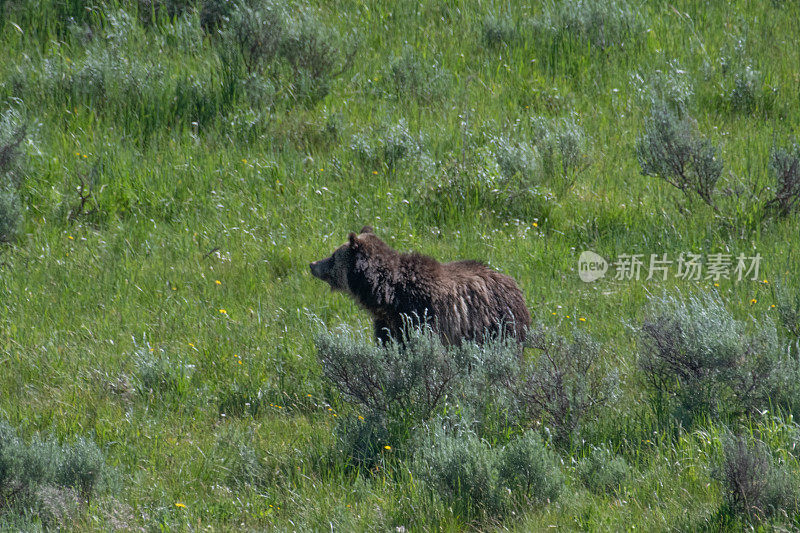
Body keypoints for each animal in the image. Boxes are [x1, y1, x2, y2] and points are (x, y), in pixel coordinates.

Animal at [308, 228, 532, 344]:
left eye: (333, 256)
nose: (313, 264)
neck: (388, 295)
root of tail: (515, 286)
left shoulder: (422, 313)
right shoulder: (387, 322)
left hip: (497, 323)